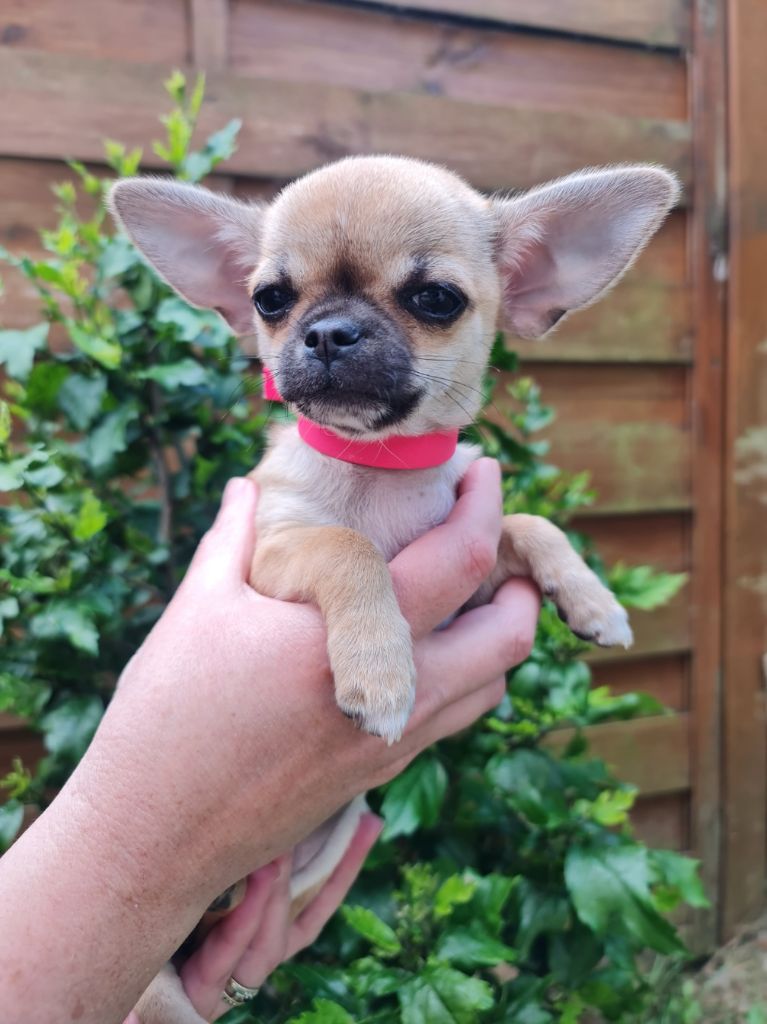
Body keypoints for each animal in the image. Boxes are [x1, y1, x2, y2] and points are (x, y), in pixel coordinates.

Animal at [110, 155, 678, 1021]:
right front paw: (380, 675)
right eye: (270, 299)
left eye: (434, 298)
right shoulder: (271, 552)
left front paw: (593, 601)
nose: (327, 331)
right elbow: (347, 546)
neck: (378, 467)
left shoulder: (470, 566)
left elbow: (530, 523)